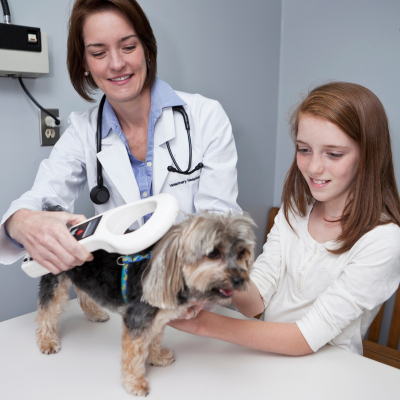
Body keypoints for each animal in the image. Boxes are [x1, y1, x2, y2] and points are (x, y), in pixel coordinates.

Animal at [36, 211, 255, 396]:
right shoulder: (137, 319)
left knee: (83, 290)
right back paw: (47, 340)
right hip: (55, 274)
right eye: (213, 253)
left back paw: (94, 313)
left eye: (242, 253)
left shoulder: (158, 318)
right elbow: (134, 354)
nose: (239, 279)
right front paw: (135, 382)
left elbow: (154, 339)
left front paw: (156, 357)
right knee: (47, 310)